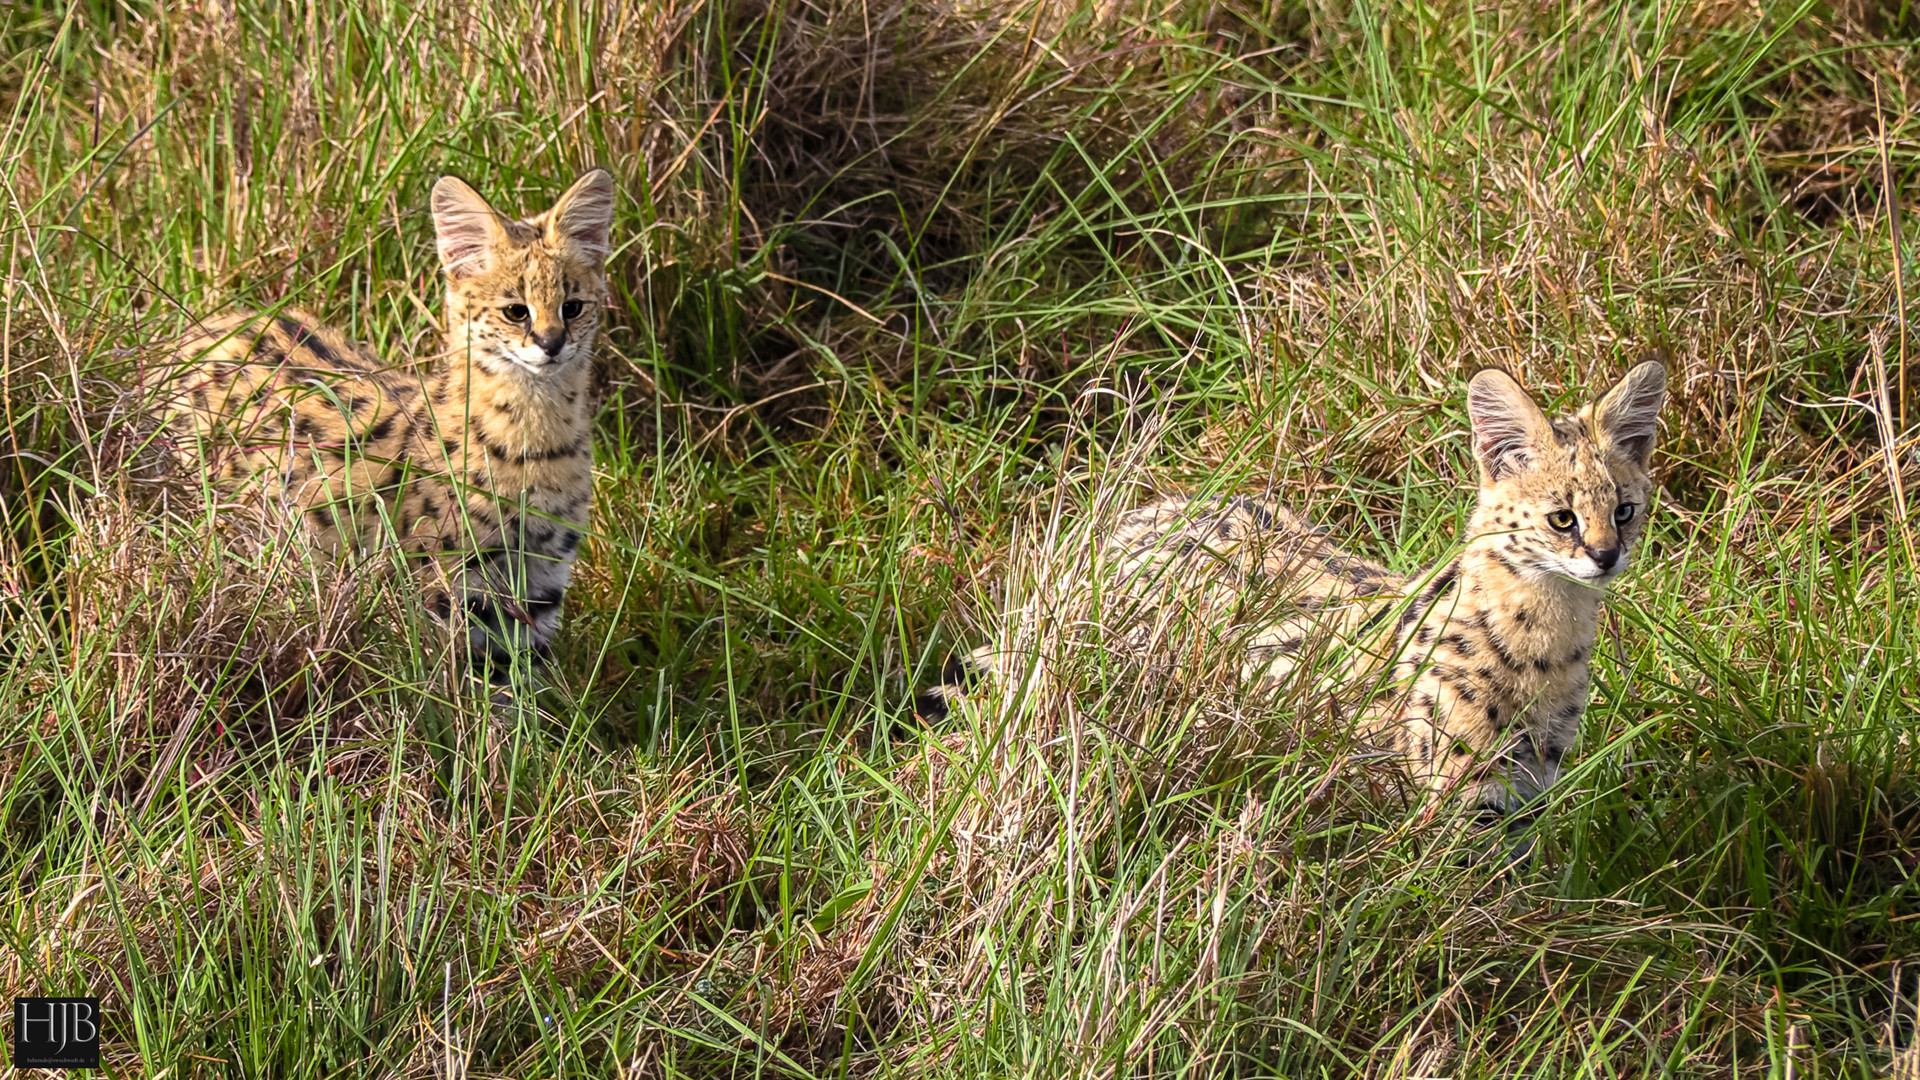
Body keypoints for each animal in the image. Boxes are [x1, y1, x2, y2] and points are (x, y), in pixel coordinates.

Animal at [166, 167, 618, 664]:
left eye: (572, 307)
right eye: (516, 311)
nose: (552, 344)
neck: (538, 441)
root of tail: (204, 328)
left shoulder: (543, 581)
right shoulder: (448, 586)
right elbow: (451, 680)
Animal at [925, 361, 1666, 822]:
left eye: (1626, 510)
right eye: (1562, 519)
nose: (1606, 556)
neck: (1547, 641)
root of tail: (1118, 524)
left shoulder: (1527, 793)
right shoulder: (1456, 797)